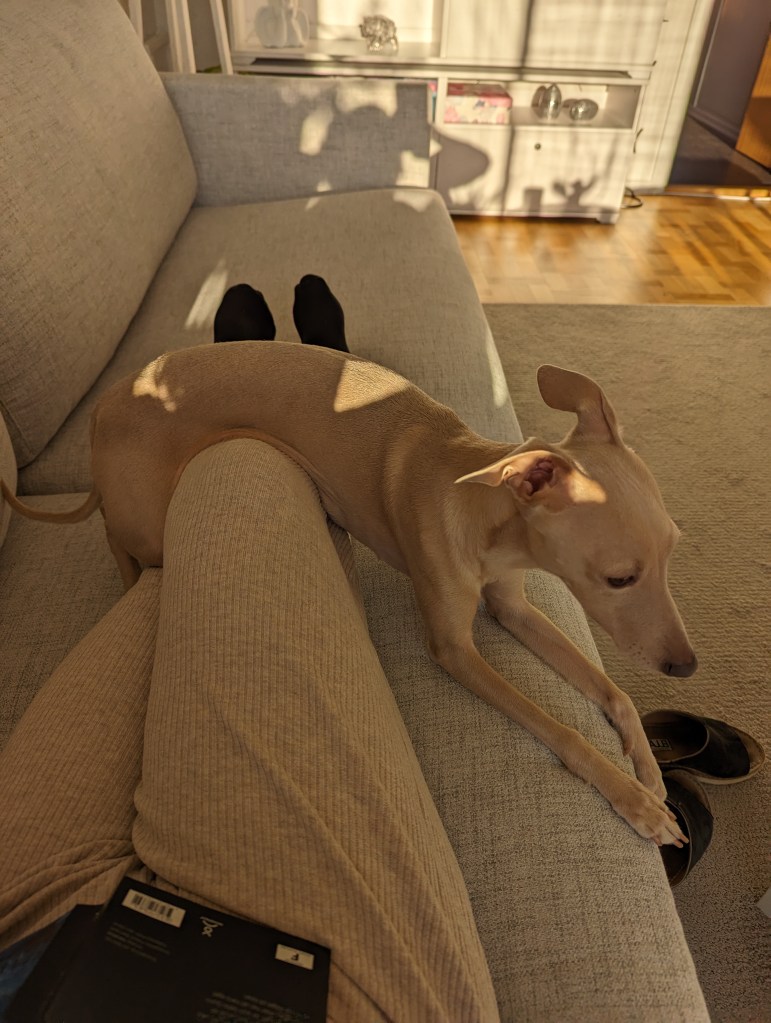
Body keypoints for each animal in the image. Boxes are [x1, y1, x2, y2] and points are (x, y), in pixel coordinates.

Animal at [1, 341, 694, 848]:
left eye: (673, 548)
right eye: (619, 577)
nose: (686, 667)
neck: (476, 502)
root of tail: (105, 405)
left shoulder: (511, 607)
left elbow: (615, 692)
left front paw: (647, 767)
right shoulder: (453, 650)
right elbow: (564, 730)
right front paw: (633, 802)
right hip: (147, 521)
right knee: (119, 542)